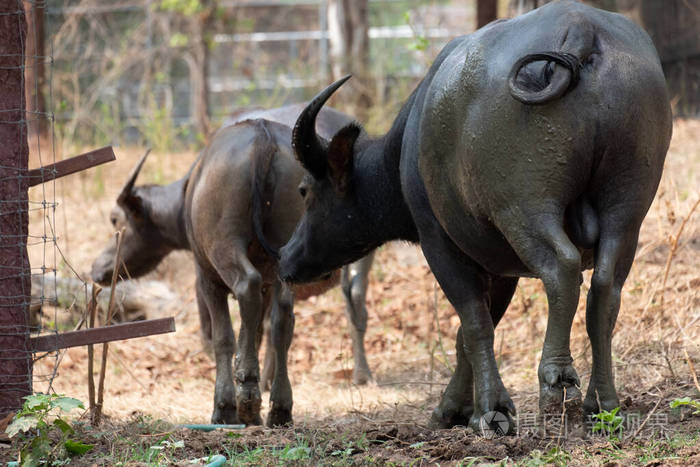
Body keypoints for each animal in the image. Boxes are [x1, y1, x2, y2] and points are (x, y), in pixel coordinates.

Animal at [280, 0, 672, 431]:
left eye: (305, 191)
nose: (285, 257)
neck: (407, 148)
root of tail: (580, 27)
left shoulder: (439, 243)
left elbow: (473, 324)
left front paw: (489, 408)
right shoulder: (501, 267)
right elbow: (472, 331)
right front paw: (454, 407)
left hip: (524, 207)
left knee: (562, 268)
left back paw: (556, 380)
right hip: (627, 207)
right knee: (606, 288)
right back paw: (602, 402)